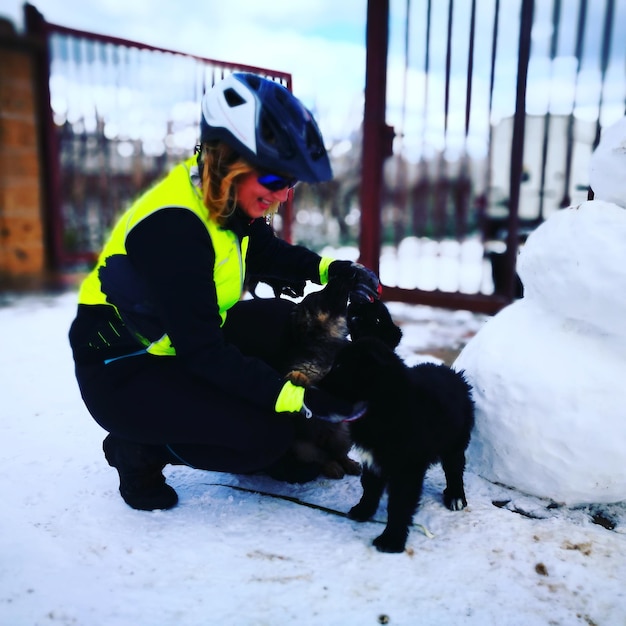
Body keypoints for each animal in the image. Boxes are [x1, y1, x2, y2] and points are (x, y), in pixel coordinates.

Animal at [320, 336, 470, 552]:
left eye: (340, 366)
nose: (315, 385)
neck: (383, 406)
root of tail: (453, 373)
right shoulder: (372, 458)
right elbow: (370, 487)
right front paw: (363, 511)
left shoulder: (407, 468)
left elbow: (399, 503)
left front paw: (391, 539)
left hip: (455, 442)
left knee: (454, 470)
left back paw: (455, 497)